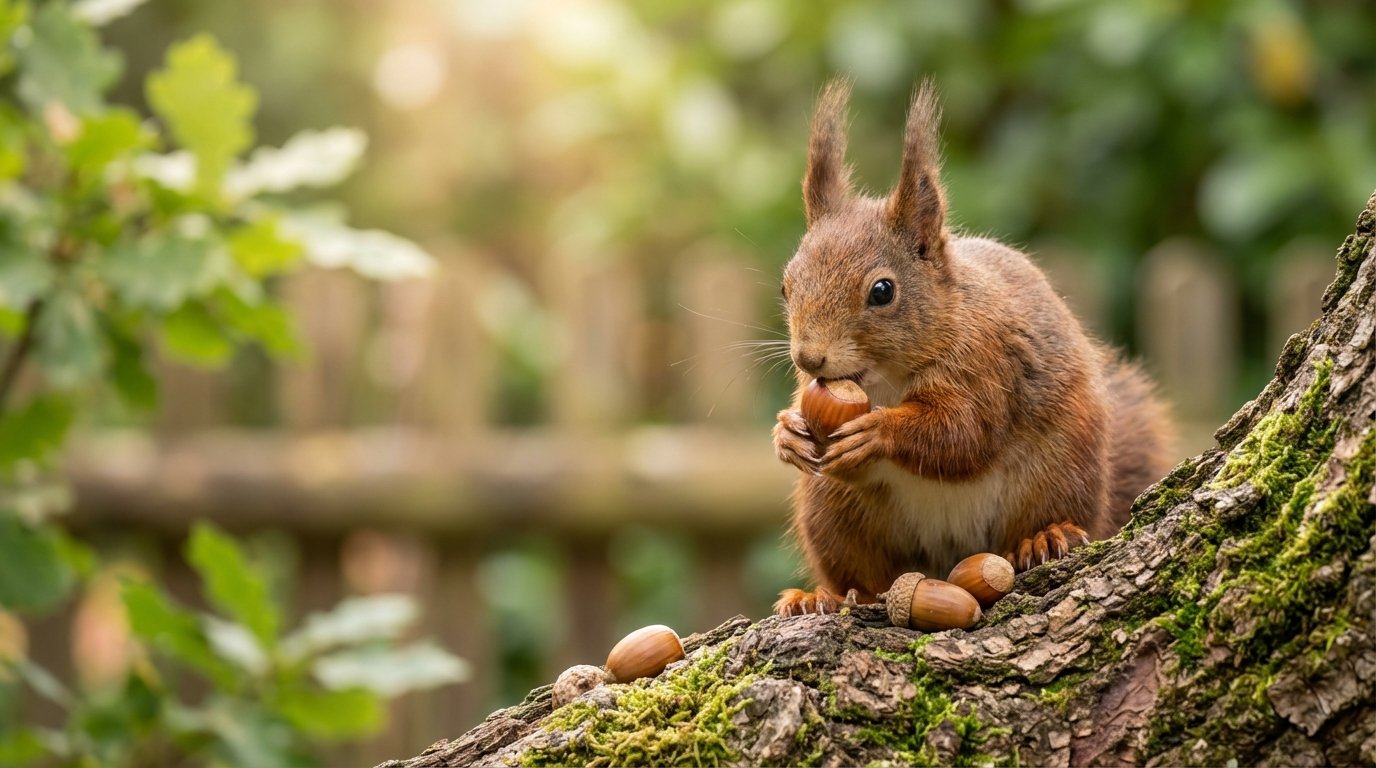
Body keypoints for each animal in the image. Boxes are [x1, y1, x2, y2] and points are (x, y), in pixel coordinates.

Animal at [772, 80, 1175, 616]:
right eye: (785, 286)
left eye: (882, 291)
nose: (808, 357)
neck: (885, 377)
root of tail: (949, 560)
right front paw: (788, 432)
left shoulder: (986, 362)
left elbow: (962, 433)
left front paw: (877, 431)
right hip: (832, 512)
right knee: (863, 575)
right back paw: (820, 597)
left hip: (1061, 469)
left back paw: (1044, 538)